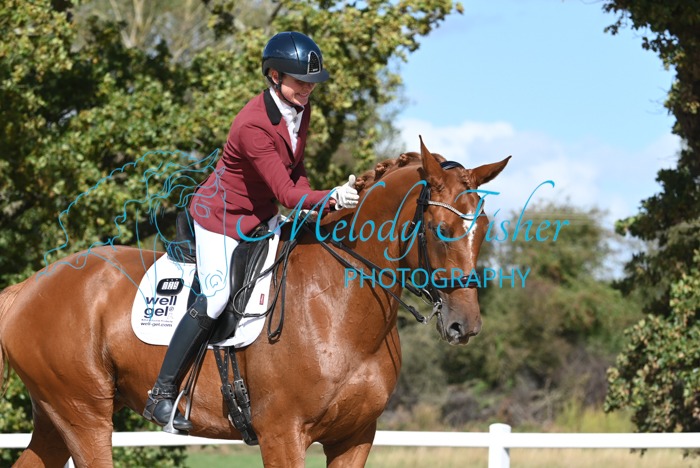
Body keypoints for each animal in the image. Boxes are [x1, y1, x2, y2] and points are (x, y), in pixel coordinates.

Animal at [0, 139, 509, 467]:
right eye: (441, 230)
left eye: (483, 228)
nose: (465, 325)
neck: (339, 306)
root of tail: (28, 287)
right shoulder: (282, 435)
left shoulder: (355, 437)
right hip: (83, 413)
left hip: (57, 416)